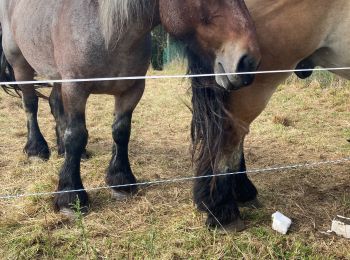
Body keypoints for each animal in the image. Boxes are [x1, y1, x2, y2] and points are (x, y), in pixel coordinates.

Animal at [0, 0, 260, 228]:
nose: (249, 61)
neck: (108, 33)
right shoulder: (75, 87)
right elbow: (76, 135)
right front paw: (70, 195)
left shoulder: (132, 89)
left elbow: (121, 131)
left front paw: (121, 180)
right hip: (21, 64)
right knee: (31, 105)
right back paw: (36, 149)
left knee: (55, 105)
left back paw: (64, 150)